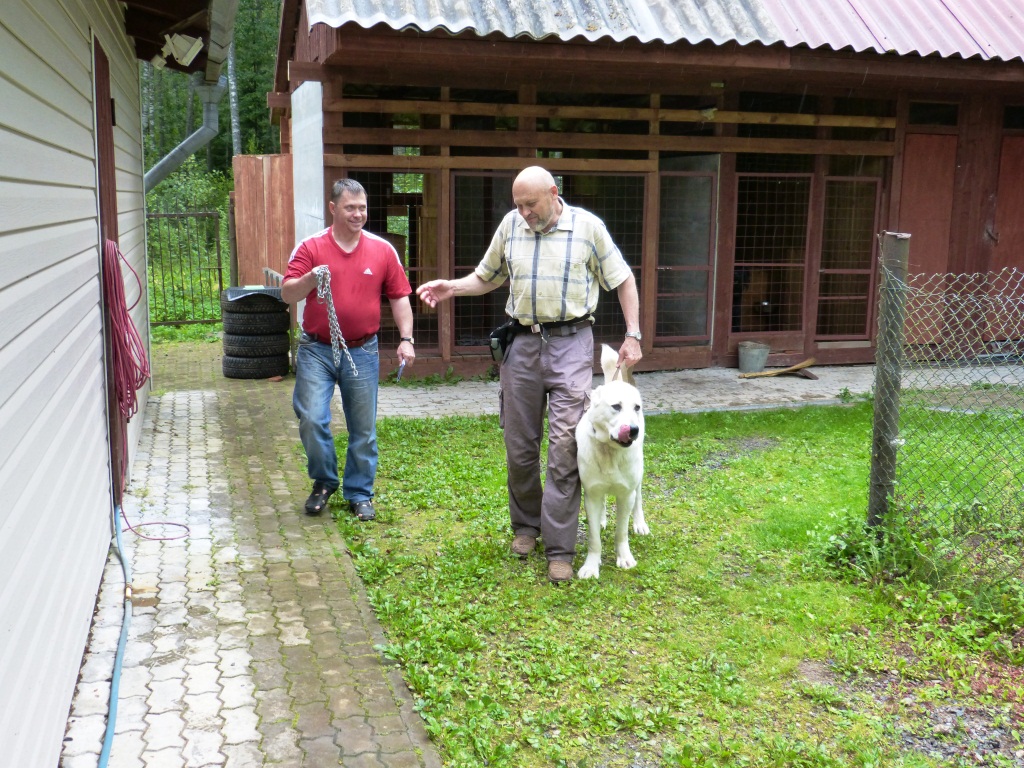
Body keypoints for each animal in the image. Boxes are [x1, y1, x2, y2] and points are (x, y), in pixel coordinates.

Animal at [577, 346, 647, 581]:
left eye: (636, 408)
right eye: (616, 406)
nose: (633, 430)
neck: (609, 451)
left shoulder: (626, 495)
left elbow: (621, 532)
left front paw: (624, 558)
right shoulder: (591, 494)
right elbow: (594, 538)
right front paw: (591, 565)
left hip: (638, 475)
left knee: (639, 498)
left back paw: (640, 524)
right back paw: (601, 519)